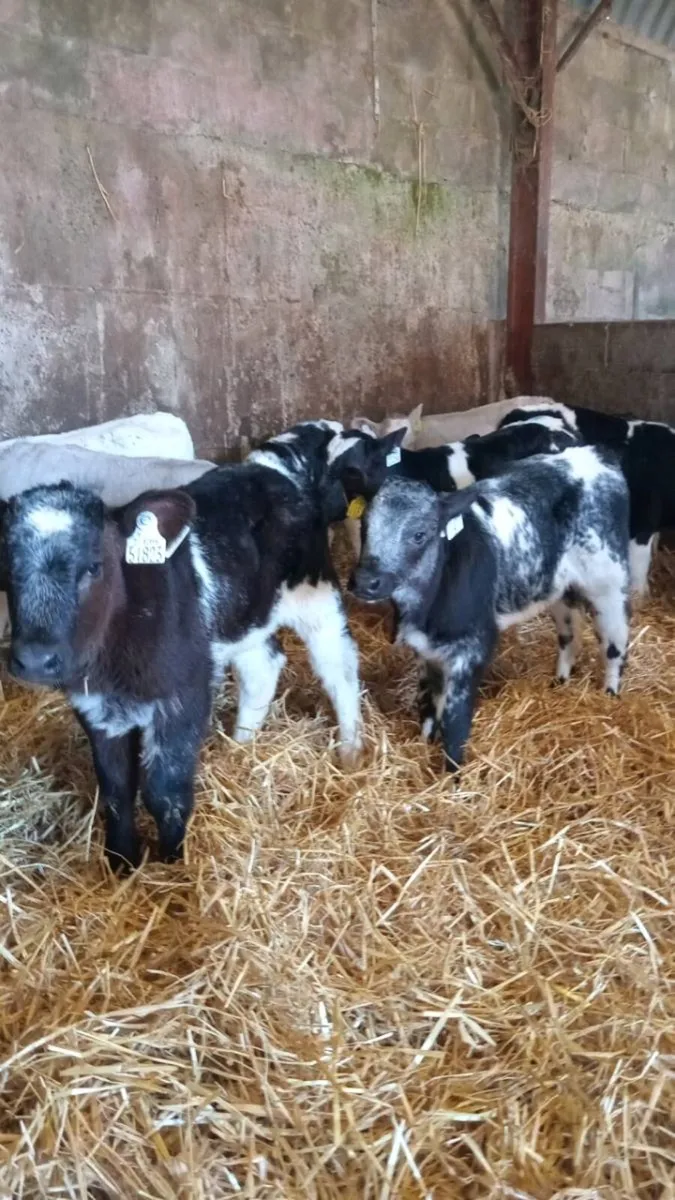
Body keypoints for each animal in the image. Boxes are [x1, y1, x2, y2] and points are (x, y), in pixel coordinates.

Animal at [1, 423, 362, 870]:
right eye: (5, 567)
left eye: (93, 567)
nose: (34, 660)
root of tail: (270, 468)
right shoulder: (95, 706)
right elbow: (116, 790)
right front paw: (122, 863)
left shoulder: (184, 695)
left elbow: (165, 791)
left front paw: (172, 864)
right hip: (241, 616)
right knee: (263, 668)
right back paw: (242, 746)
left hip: (316, 593)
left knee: (339, 670)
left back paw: (351, 750)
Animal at [349, 446, 631, 771]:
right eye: (364, 525)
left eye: (419, 534)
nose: (366, 582)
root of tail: (595, 453)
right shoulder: (424, 650)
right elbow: (429, 700)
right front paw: (424, 741)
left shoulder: (472, 647)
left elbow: (456, 718)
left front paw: (452, 773)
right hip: (558, 588)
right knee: (569, 633)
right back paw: (560, 680)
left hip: (609, 583)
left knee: (615, 643)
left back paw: (610, 693)